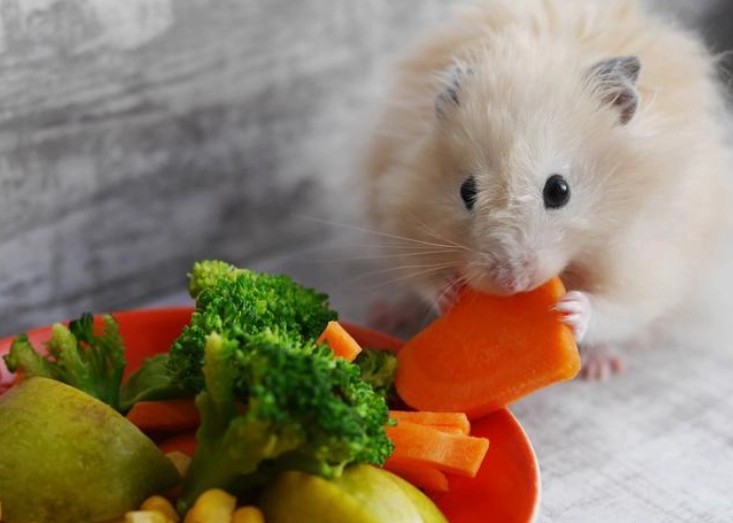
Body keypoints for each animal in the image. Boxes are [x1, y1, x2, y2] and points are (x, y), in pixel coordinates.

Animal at [364, 0, 731, 376]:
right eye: (466, 191)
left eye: (559, 190)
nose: (510, 284)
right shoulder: (402, 206)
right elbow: (422, 277)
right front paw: (449, 291)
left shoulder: (649, 256)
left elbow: (621, 307)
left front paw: (570, 310)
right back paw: (386, 314)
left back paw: (601, 366)